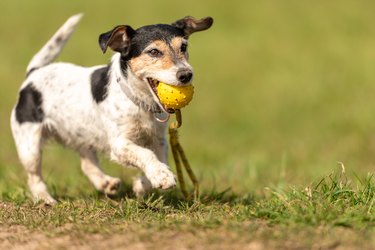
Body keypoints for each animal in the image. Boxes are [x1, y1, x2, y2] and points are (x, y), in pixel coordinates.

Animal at [9, 13, 214, 204]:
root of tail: (33, 74)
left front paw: (143, 184)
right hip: (29, 145)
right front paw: (161, 177)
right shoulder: (119, 143)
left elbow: (160, 159)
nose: (186, 74)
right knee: (34, 176)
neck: (138, 101)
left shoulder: (159, 140)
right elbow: (145, 154)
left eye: (183, 47)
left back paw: (105, 183)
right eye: (154, 52)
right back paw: (45, 199)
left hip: (82, 134)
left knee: (86, 163)